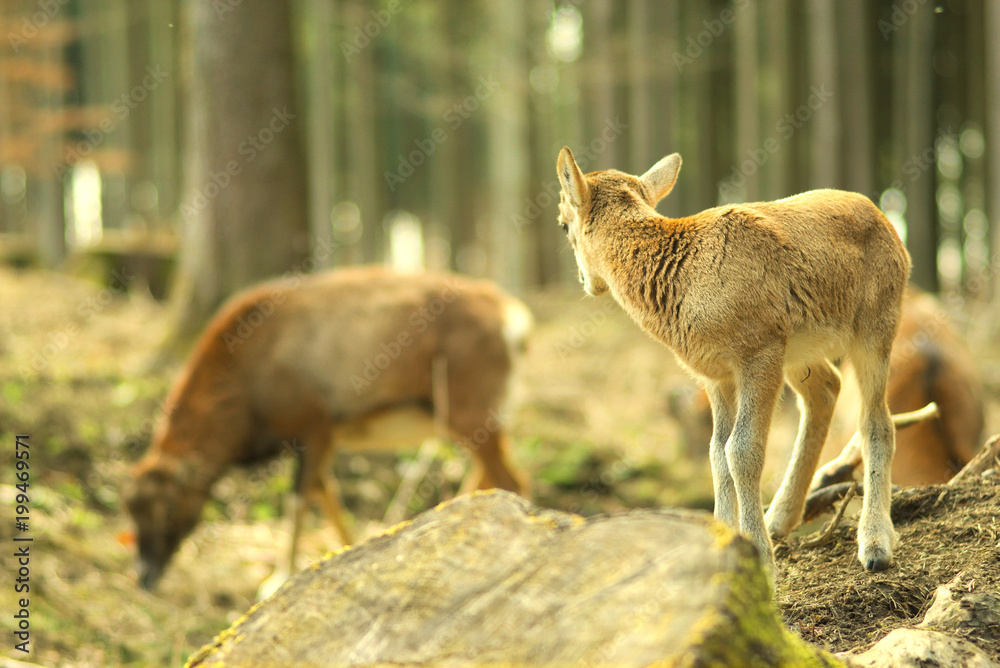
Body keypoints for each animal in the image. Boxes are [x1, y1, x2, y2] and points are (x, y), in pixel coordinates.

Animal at [124, 266, 532, 593]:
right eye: (132, 511)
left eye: (168, 508)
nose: (145, 576)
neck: (245, 376)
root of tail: (513, 320)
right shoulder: (317, 440)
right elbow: (327, 494)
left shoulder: (314, 426)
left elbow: (299, 501)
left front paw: (276, 580)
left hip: (469, 413)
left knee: (512, 479)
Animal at [556, 146, 911, 581]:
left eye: (563, 224)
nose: (585, 282)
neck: (683, 276)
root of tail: (889, 226)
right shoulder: (716, 375)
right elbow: (715, 453)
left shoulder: (759, 354)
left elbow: (741, 451)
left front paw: (762, 561)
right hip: (801, 354)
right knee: (826, 389)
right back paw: (779, 518)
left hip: (874, 329)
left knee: (877, 421)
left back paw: (874, 544)